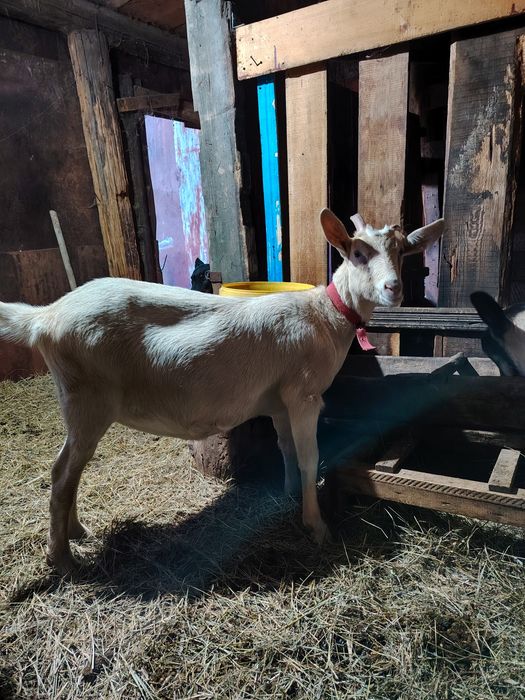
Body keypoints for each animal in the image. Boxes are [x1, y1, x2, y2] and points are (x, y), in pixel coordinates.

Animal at [0, 209, 443, 574]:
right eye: (357, 254)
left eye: (403, 251)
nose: (393, 288)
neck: (326, 315)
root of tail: (46, 316)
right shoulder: (303, 394)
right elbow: (309, 457)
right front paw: (316, 527)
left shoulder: (280, 400)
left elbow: (285, 449)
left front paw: (288, 497)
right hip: (86, 398)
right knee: (61, 472)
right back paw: (61, 558)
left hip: (78, 401)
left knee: (71, 468)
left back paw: (76, 531)